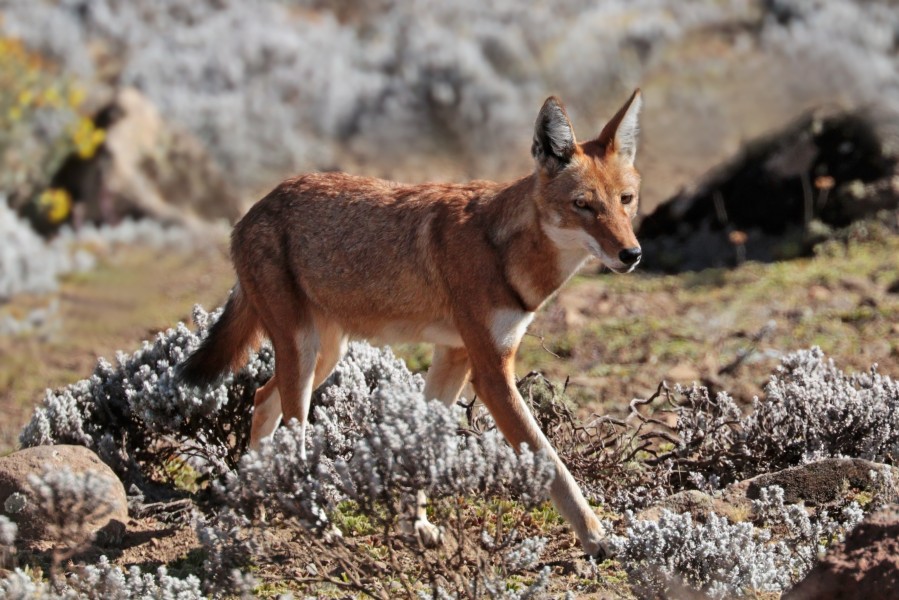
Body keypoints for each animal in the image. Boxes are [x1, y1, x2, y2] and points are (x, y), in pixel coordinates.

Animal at [179, 90, 643, 556]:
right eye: (582, 205)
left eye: (626, 200)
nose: (632, 254)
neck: (504, 251)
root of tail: (252, 211)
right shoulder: (492, 374)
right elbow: (552, 462)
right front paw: (597, 536)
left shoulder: (455, 356)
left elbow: (423, 443)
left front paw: (415, 525)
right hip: (305, 355)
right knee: (293, 435)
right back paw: (317, 523)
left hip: (324, 356)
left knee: (261, 399)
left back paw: (255, 503)